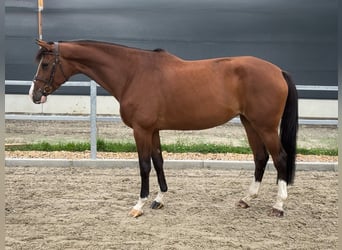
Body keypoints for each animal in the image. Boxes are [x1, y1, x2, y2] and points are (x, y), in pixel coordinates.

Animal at [30, 40, 296, 218]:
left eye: (45, 64)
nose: (34, 95)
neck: (133, 73)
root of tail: (278, 70)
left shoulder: (141, 130)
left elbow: (144, 165)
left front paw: (139, 205)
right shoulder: (153, 130)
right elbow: (158, 161)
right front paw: (159, 199)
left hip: (266, 126)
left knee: (280, 158)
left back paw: (278, 205)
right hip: (249, 123)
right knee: (260, 157)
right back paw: (246, 199)